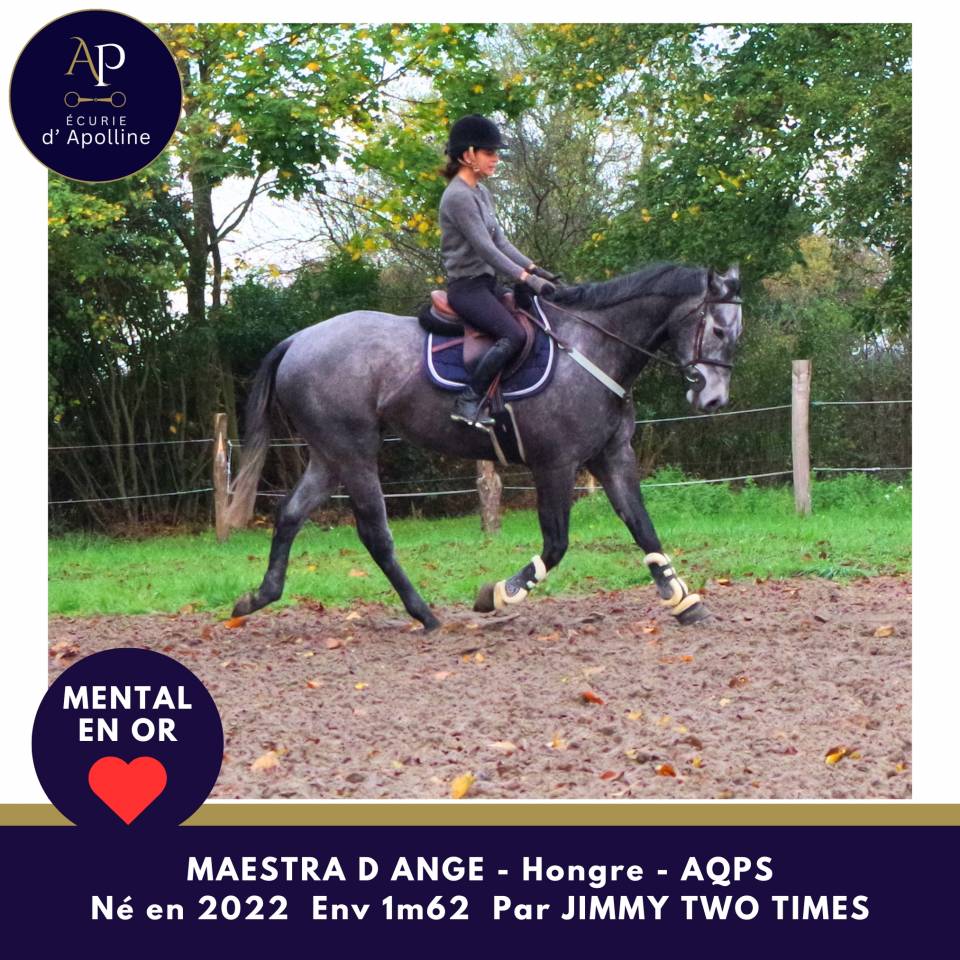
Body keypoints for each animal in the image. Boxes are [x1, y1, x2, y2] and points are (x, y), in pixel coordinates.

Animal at [226, 262, 743, 630]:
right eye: (719, 330)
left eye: (736, 334)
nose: (714, 399)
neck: (590, 347)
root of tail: (299, 339)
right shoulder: (555, 464)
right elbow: (556, 544)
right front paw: (500, 594)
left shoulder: (612, 457)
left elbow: (644, 528)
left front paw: (682, 600)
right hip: (354, 453)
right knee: (374, 533)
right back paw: (426, 615)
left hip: (329, 455)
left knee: (290, 514)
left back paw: (257, 597)